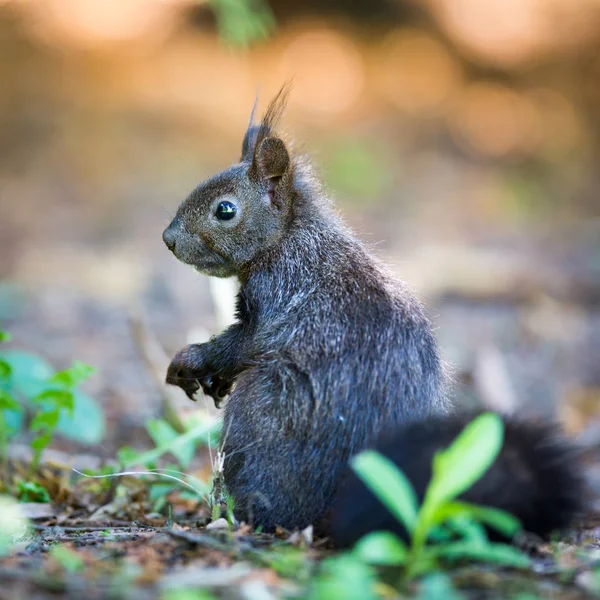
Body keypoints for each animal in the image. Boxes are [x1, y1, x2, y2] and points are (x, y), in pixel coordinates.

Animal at [162, 88, 584, 544]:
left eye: (225, 210)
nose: (168, 239)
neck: (291, 236)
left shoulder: (276, 293)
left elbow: (243, 345)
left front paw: (190, 361)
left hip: (261, 411)